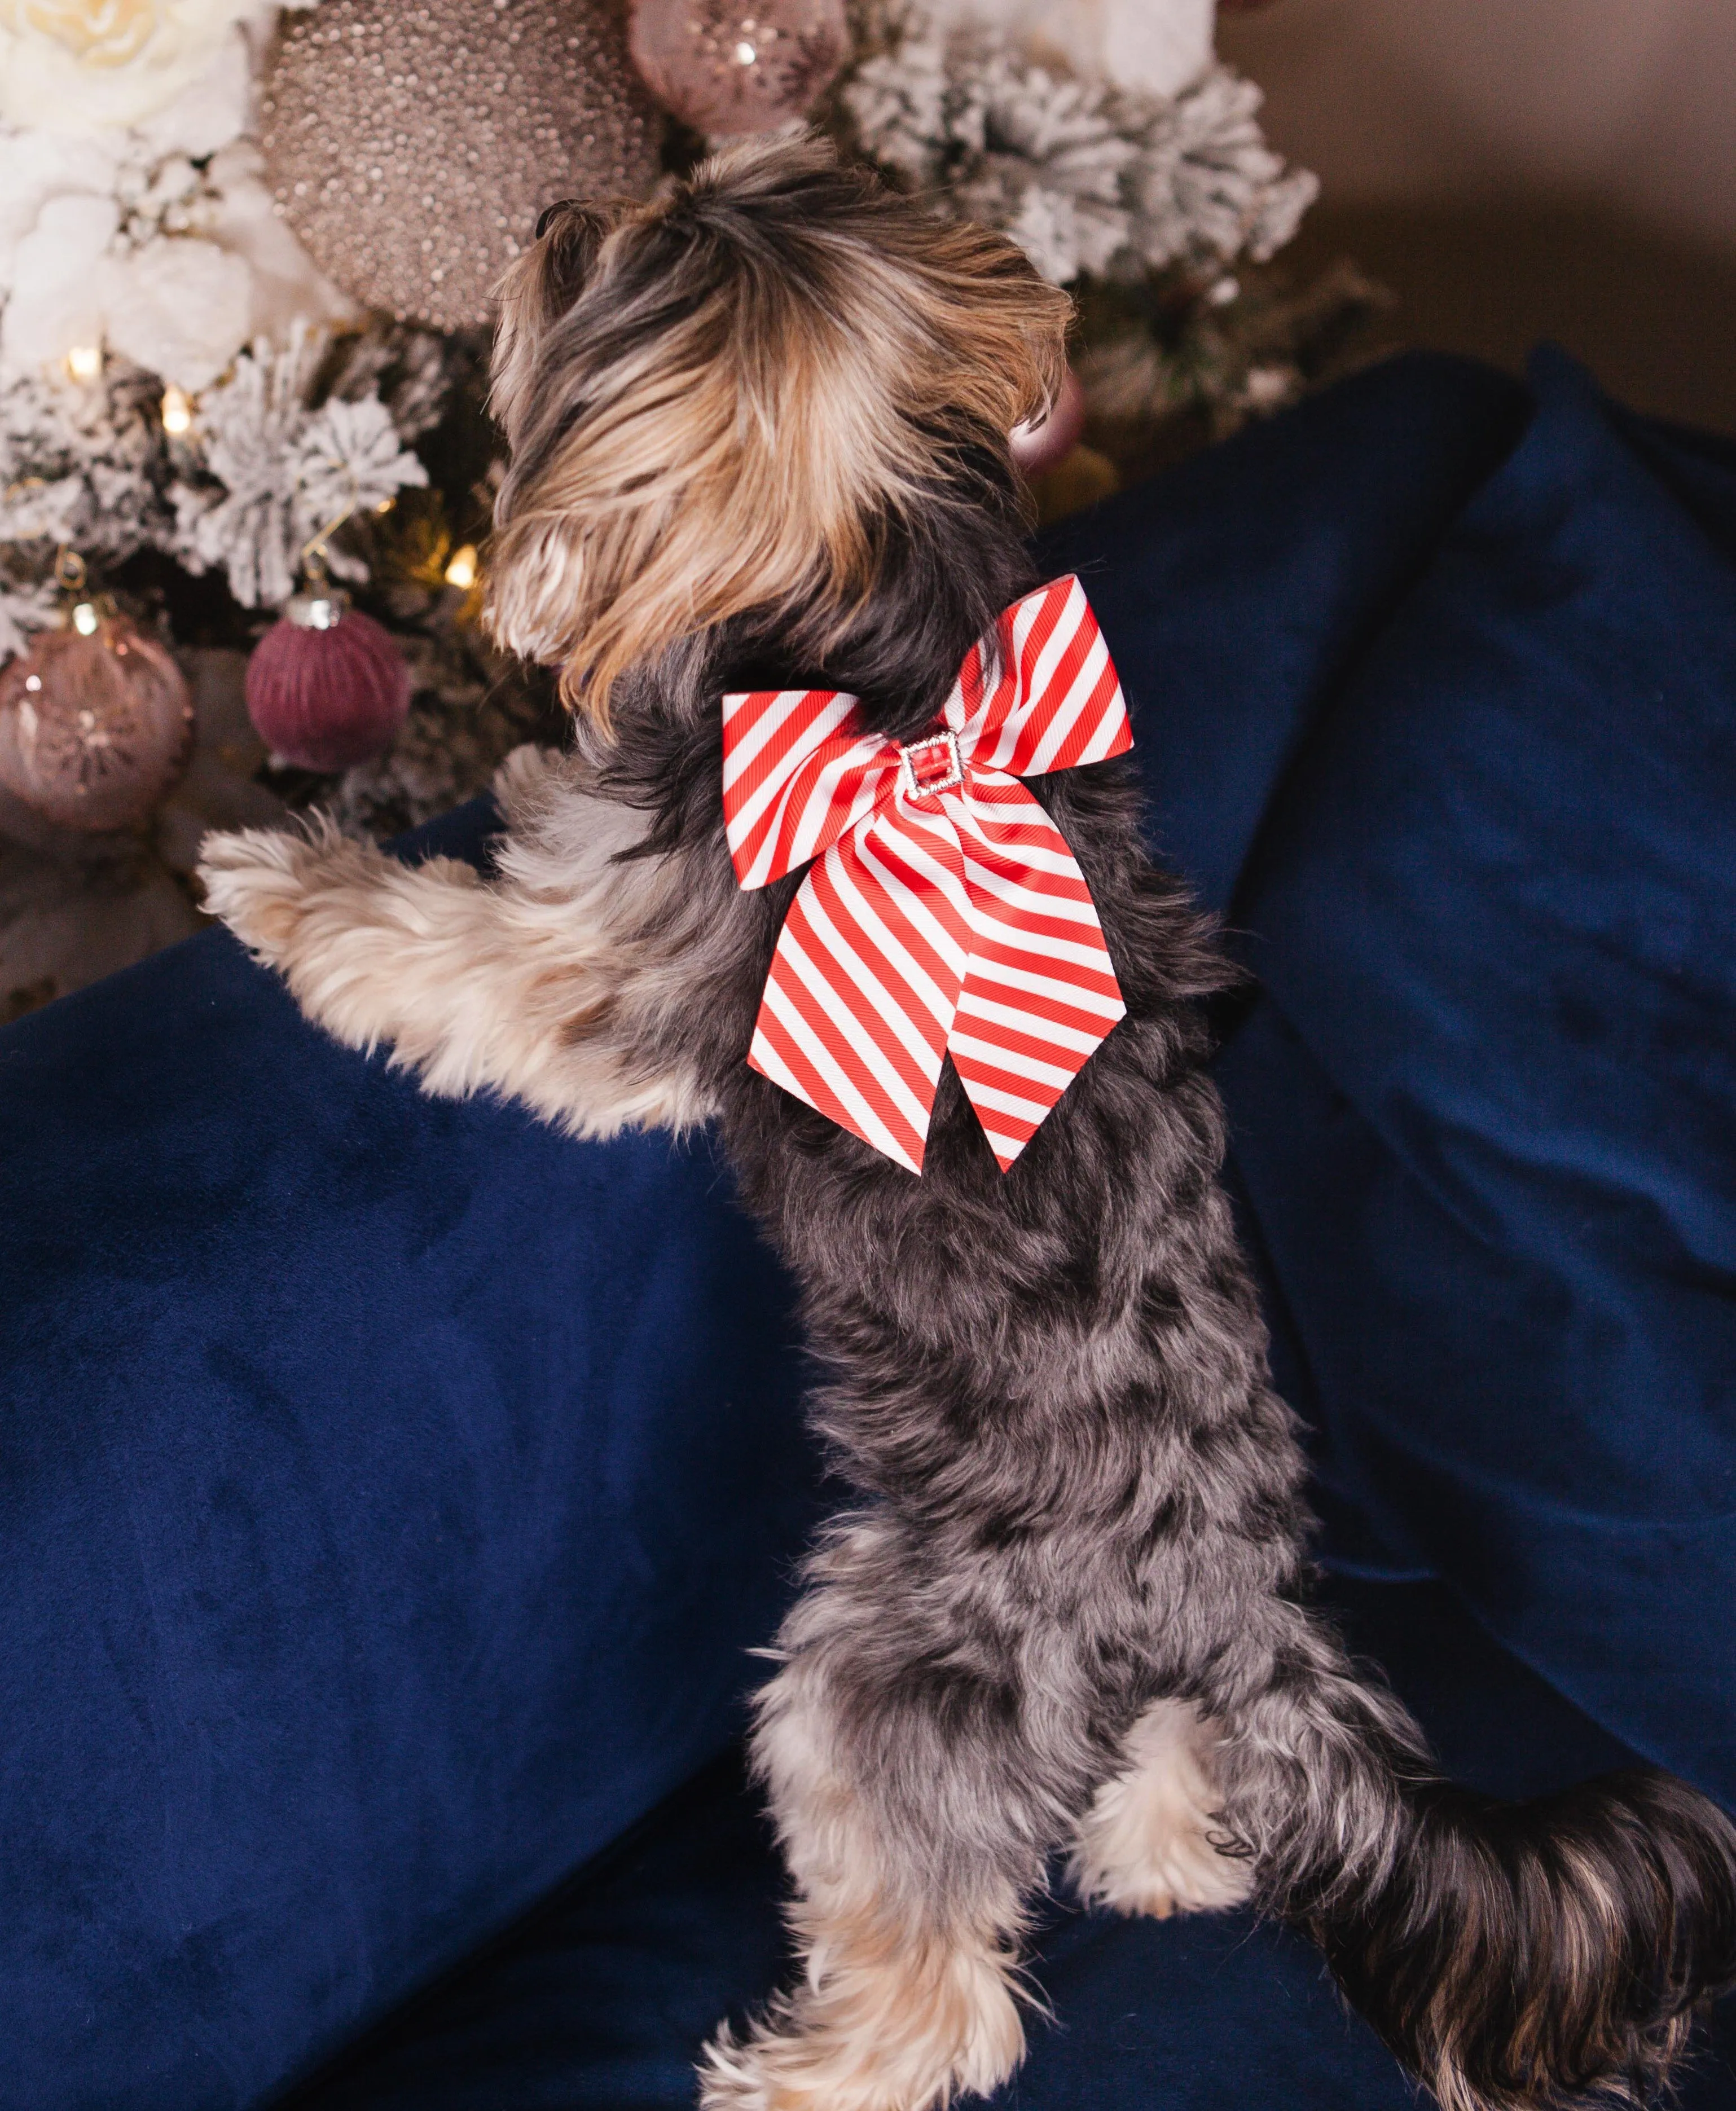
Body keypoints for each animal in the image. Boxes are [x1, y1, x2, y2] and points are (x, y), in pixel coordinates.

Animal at [204, 140, 1736, 2103]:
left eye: (621, 253)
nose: (556, 208)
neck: (894, 641)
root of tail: (1225, 1616)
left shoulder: (614, 963)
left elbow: (445, 949)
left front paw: (283, 885)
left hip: (885, 1665)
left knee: (949, 1980)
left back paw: (800, 2066)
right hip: (1143, 1678)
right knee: (1175, 1788)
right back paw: (1161, 1846)